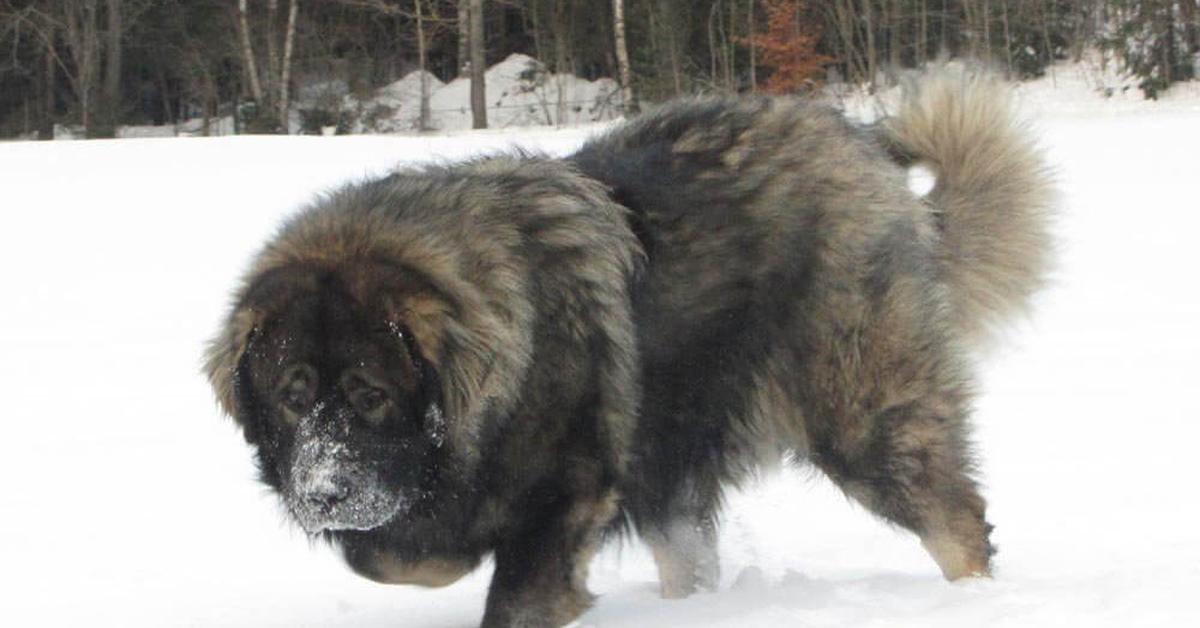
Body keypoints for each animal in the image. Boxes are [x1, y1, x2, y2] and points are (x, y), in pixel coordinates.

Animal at [206, 66, 1051, 624]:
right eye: (292, 395)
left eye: (370, 395)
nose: (321, 491)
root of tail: (860, 146)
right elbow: (387, 550)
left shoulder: (567, 491)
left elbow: (510, 592)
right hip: (675, 455)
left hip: (862, 415)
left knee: (956, 520)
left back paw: (976, 601)